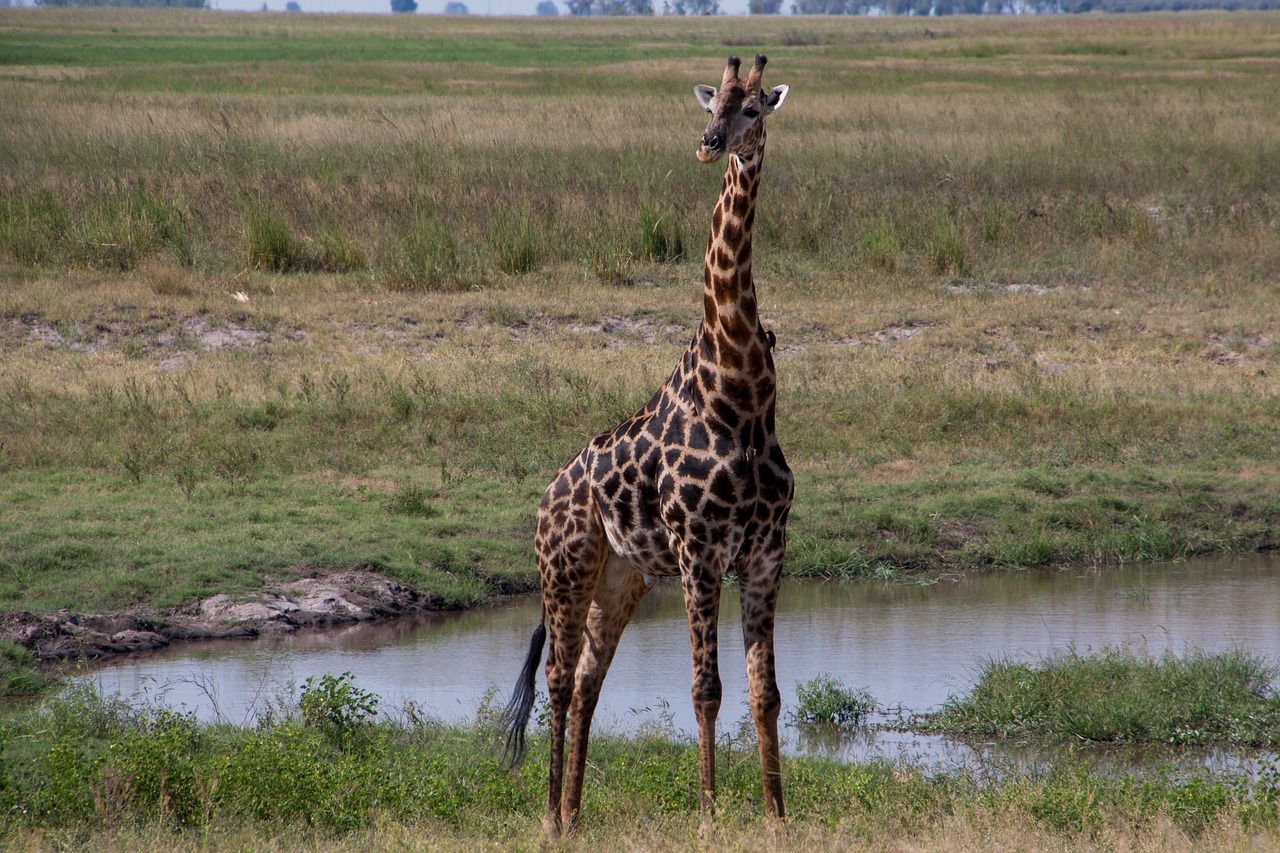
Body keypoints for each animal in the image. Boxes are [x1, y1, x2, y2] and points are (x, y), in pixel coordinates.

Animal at [501, 54, 788, 835]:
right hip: (565, 567)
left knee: (590, 679)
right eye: (714, 103)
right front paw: (710, 820)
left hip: (619, 578)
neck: (740, 393)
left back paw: (574, 813)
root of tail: (547, 495)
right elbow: (705, 688)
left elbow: (765, 692)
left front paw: (779, 818)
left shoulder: (765, 553)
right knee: (558, 678)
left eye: (755, 108)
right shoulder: (700, 553)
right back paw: (548, 818)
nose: (710, 143)